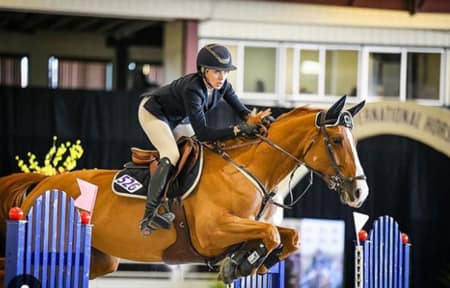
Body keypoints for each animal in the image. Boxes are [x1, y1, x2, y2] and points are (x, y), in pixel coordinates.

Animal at [0, 95, 368, 284]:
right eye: (337, 140)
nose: (359, 194)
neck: (246, 170)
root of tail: (43, 182)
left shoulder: (246, 226)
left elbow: (288, 237)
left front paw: (248, 261)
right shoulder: (211, 232)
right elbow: (273, 234)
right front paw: (242, 262)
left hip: (98, 259)